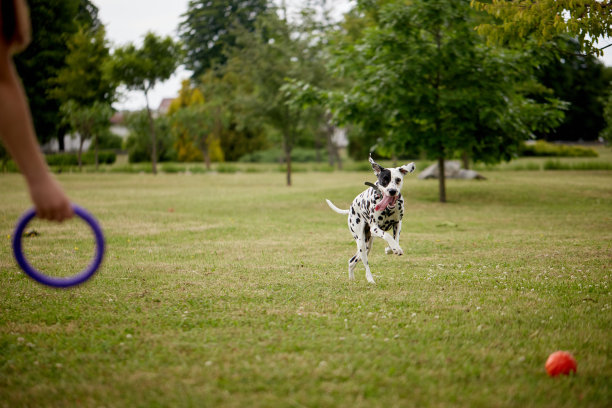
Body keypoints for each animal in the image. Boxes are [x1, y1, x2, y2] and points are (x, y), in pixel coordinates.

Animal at [326, 155, 416, 284]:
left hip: (367, 245)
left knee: (352, 261)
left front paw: (391, 249)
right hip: (361, 244)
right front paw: (394, 248)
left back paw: (352, 279)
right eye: (384, 179)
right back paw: (370, 279)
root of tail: (350, 208)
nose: (392, 191)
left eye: (398, 179)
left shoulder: (398, 223)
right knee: (365, 263)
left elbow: (396, 239)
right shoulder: (375, 228)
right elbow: (388, 236)